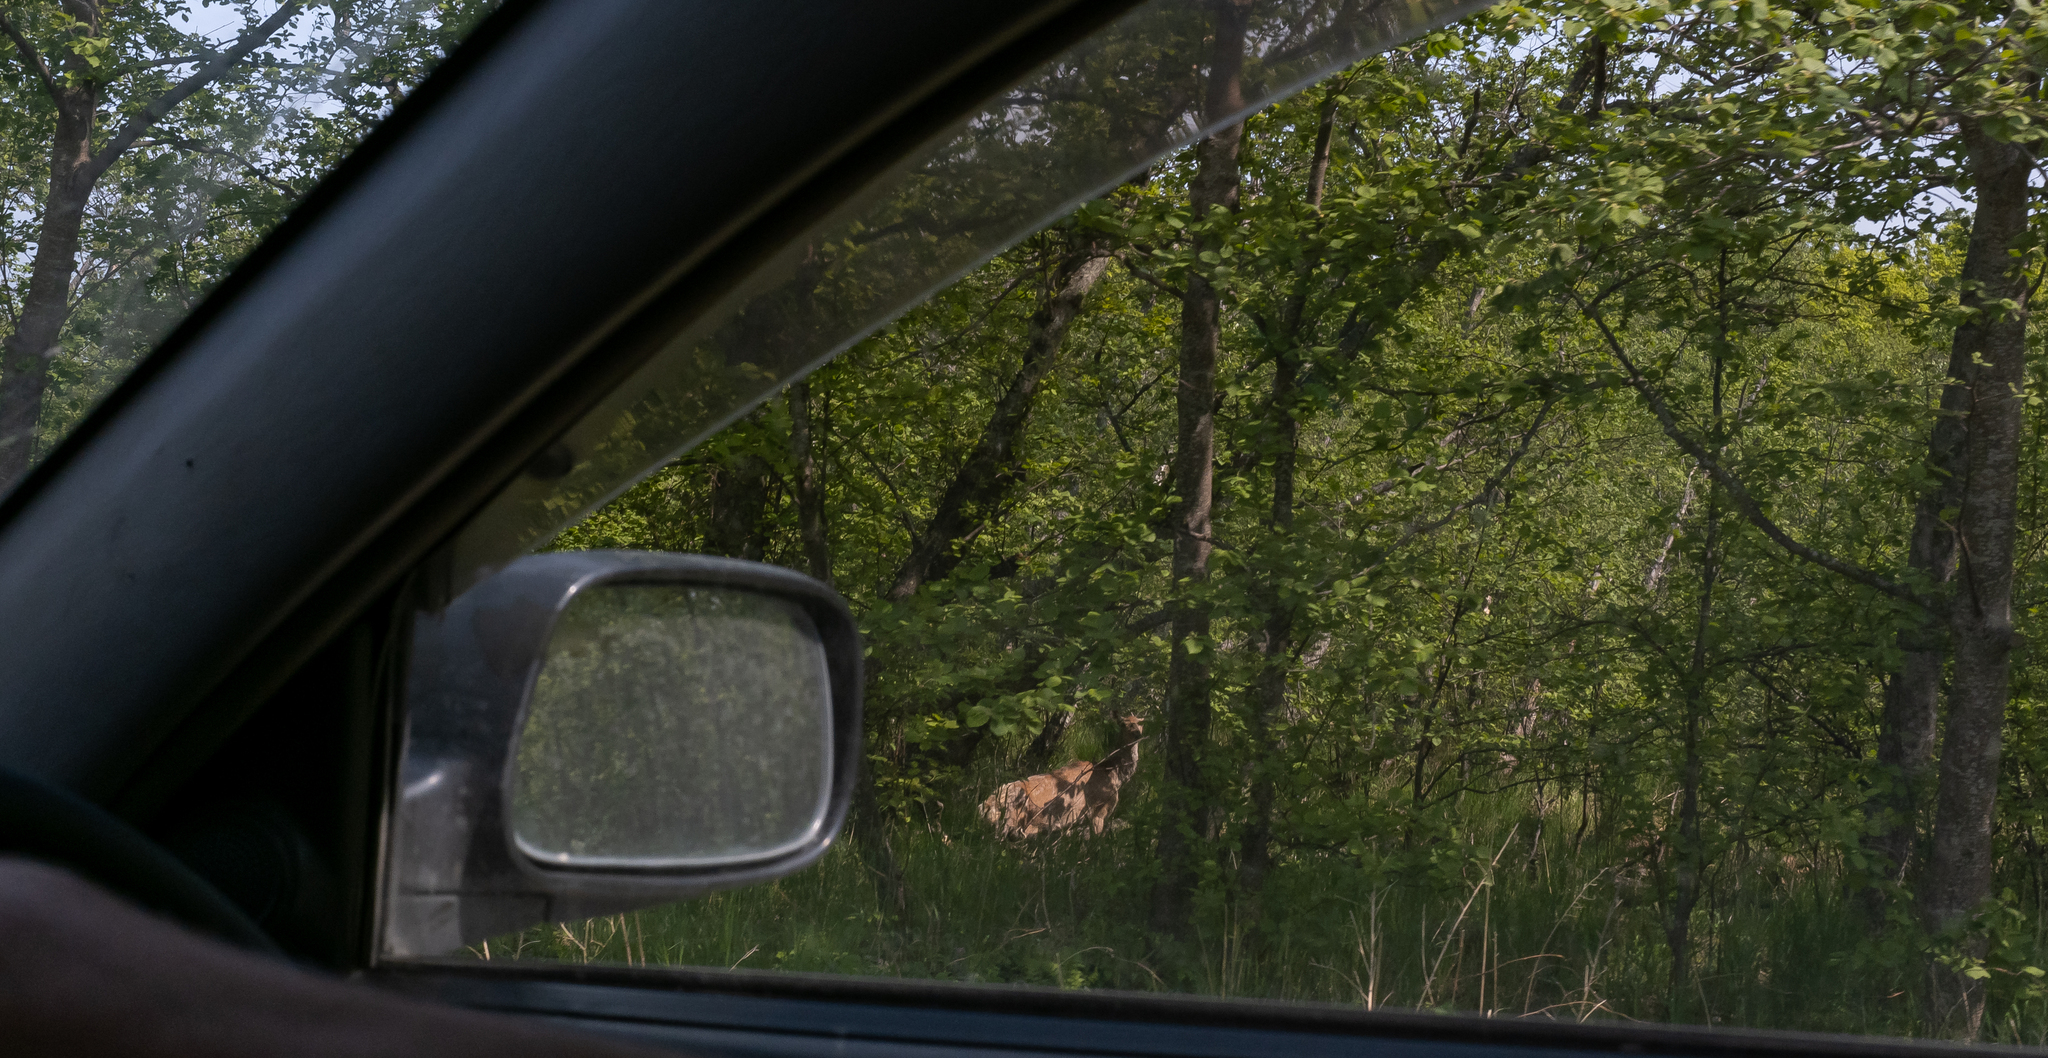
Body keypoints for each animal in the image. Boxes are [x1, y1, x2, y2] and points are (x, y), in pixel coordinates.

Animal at [978, 708, 1146, 843]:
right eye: (1123, 723)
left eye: (1140, 723)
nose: (1137, 733)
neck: (1113, 774)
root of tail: (985, 805)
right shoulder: (1100, 812)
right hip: (1010, 818)